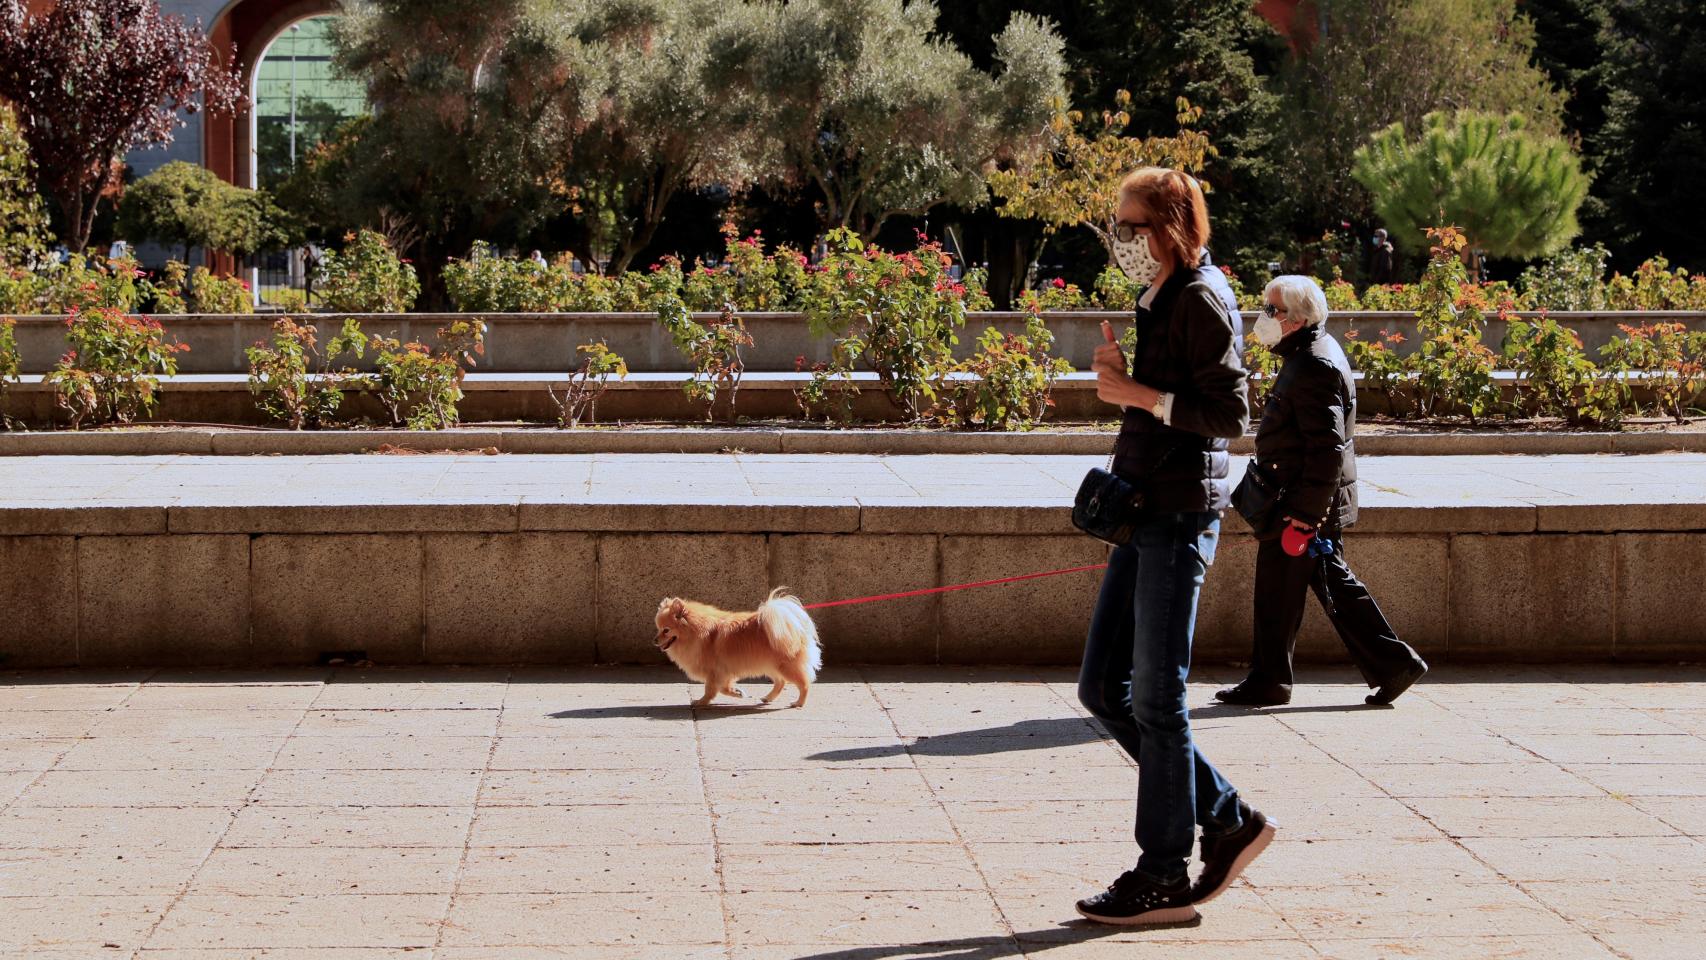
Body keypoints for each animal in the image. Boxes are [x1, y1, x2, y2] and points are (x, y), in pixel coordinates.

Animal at [651, 586, 818, 705]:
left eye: (666, 630)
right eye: (658, 629)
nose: (655, 640)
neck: (696, 632)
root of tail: (794, 624)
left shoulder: (715, 672)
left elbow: (711, 689)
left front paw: (701, 702)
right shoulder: (723, 672)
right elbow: (723, 688)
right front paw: (736, 692)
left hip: (785, 666)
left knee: (804, 684)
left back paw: (798, 703)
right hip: (770, 665)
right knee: (780, 682)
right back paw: (767, 698)